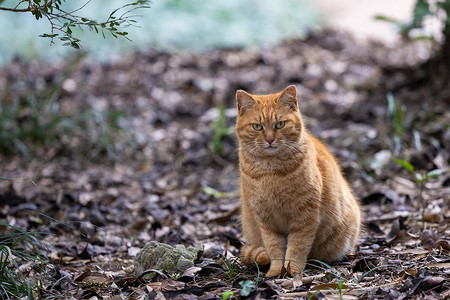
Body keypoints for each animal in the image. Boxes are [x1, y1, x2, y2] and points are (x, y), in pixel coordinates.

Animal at [236, 84, 362, 276]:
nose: (270, 139)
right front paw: (276, 271)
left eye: (280, 124)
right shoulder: (265, 219)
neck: (270, 170)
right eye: (257, 127)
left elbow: (297, 247)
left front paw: (292, 271)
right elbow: (274, 248)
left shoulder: (305, 215)